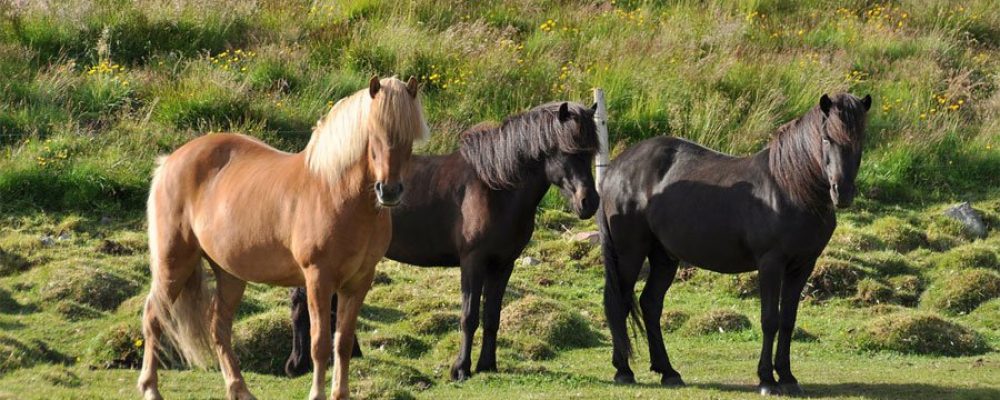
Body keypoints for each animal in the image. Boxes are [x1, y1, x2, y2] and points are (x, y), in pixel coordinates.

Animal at [136, 76, 426, 400]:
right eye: (374, 132)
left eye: (409, 137)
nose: (389, 191)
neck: (336, 192)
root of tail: (170, 161)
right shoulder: (317, 278)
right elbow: (320, 343)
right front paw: (316, 394)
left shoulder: (359, 281)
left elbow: (343, 342)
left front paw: (340, 394)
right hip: (174, 264)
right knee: (153, 317)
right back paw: (150, 388)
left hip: (229, 274)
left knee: (218, 327)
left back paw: (239, 390)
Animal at [286, 101, 596, 380]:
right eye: (568, 152)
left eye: (592, 153)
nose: (589, 202)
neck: (496, 188)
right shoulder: (473, 262)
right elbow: (469, 316)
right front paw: (460, 368)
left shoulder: (503, 265)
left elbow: (492, 316)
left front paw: (487, 365)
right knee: (304, 302)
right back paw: (298, 363)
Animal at [600, 93, 868, 394]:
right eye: (826, 138)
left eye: (860, 138)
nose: (842, 192)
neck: (789, 187)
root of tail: (617, 167)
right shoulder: (771, 264)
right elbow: (770, 320)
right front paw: (766, 380)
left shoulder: (803, 266)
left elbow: (788, 321)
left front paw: (787, 377)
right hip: (629, 253)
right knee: (618, 302)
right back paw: (623, 370)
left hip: (664, 256)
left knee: (650, 304)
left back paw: (668, 372)